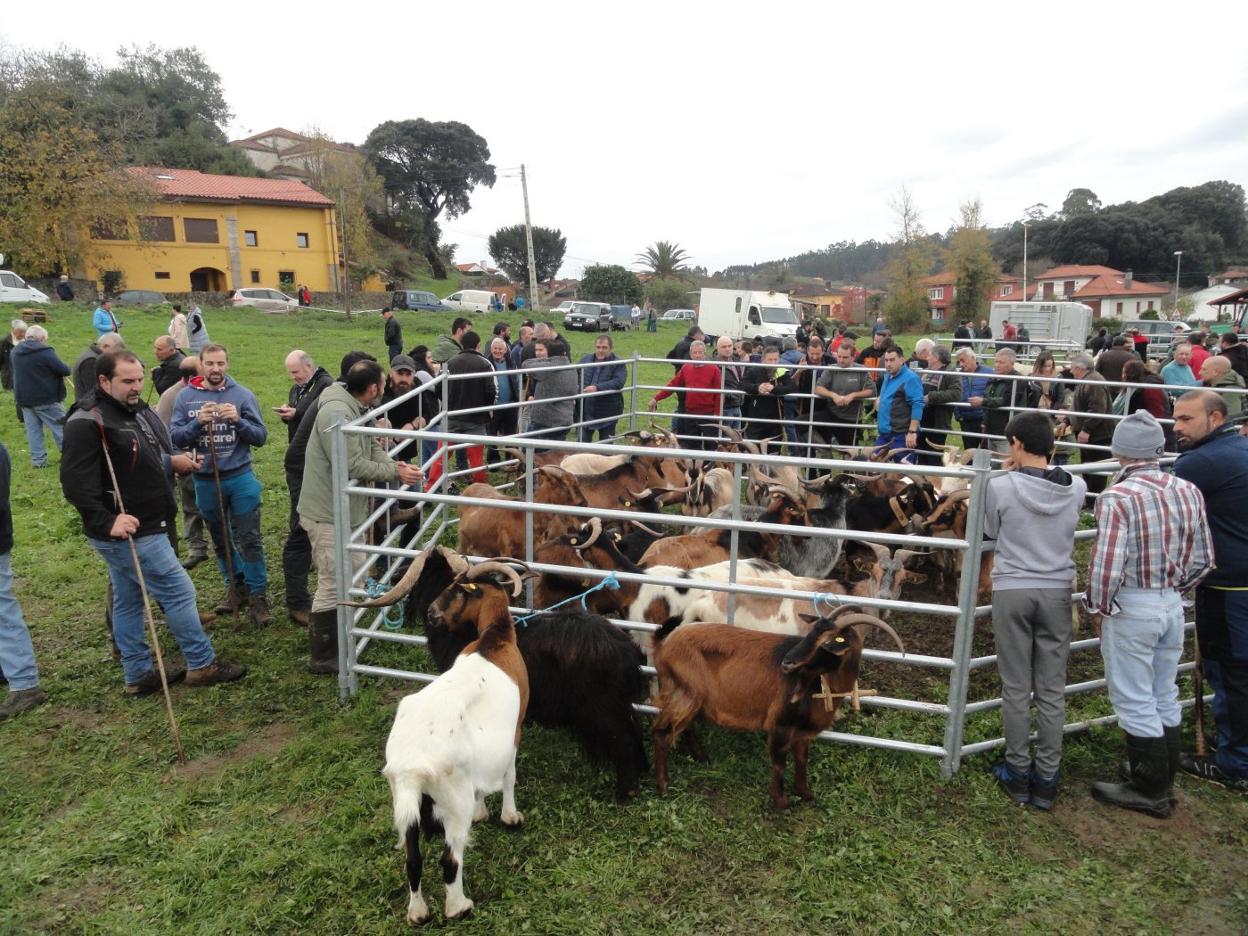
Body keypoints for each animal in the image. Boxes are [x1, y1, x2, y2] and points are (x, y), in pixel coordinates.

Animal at [653, 611, 908, 808]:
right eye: (810, 634)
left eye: (827, 643)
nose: (788, 662)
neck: (819, 685)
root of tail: (665, 644)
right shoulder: (780, 724)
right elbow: (779, 762)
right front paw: (781, 802)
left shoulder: (803, 732)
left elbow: (802, 759)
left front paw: (805, 794)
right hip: (687, 692)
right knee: (662, 733)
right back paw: (664, 785)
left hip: (688, 697)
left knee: (682, 727)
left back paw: (701, 757)